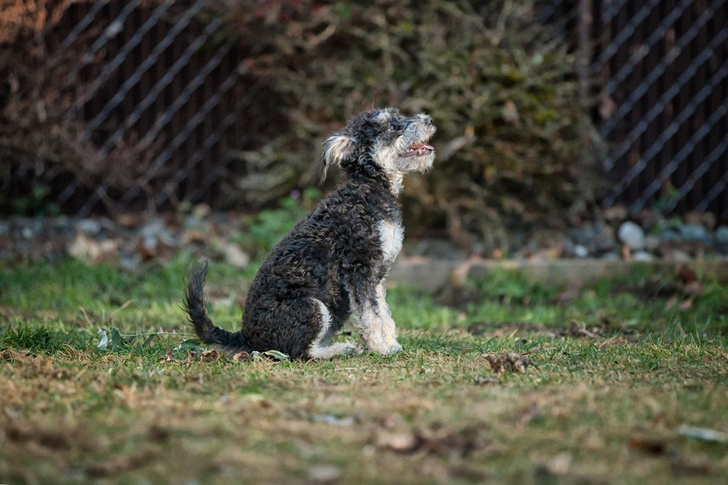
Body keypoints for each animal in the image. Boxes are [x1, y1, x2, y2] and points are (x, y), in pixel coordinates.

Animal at [185, 109, 436, 360]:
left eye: (398, 116)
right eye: (392, 126)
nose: (429, 119)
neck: (368, 191)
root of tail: (246, 337)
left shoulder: (377, 278)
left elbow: (384, 313)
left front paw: (391, 344)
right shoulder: (359, 271)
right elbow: (370, 316)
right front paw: (379, 349)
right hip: (312, 307)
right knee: (302, 353)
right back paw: (340, 349)